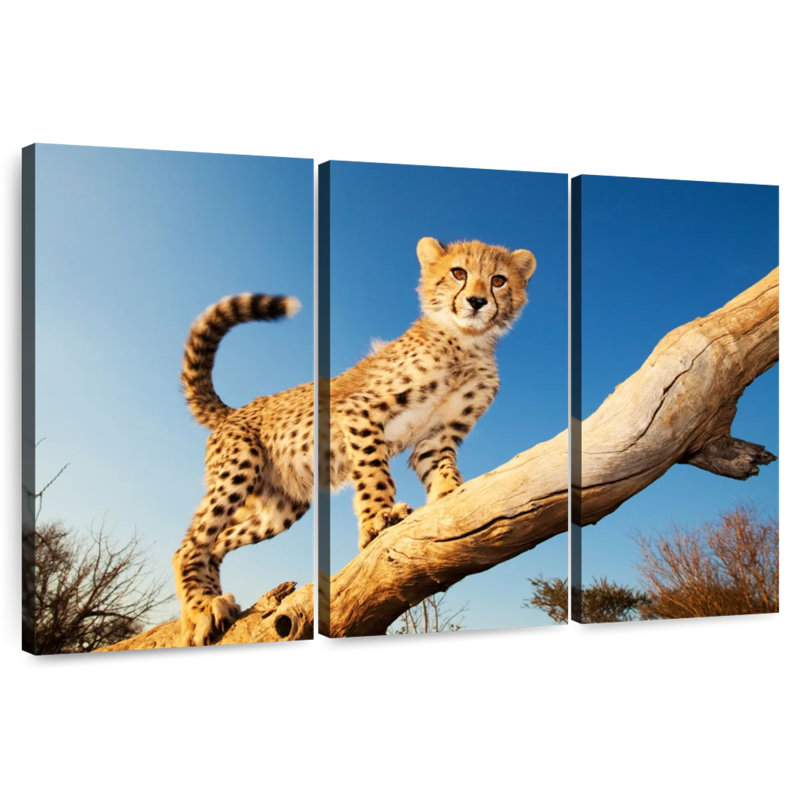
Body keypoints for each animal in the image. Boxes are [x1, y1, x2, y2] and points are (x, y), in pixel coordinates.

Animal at [173, 237, 535, 646]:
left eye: (498, 280)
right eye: (459, 273)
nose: (476, 301)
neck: (465, 342)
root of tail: (235, 410)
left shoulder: (437, 437)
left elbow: (443, 469)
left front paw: (450, 496)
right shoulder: (358, 412)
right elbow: (375, 472)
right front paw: (380, 517)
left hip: (280, 509)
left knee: (216, 543)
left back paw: (207, 606)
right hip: (239, 468)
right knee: (189, 544)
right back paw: (202, 609)